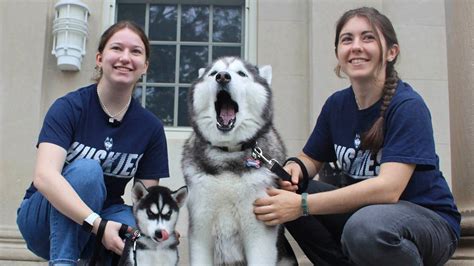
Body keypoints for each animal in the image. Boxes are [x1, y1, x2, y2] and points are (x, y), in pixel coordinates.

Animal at [182, 57, 296, 264]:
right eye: (213, 73)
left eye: (242, 73)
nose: (222, 77)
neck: (229, 153)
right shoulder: (200, 230)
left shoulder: (259, 233)